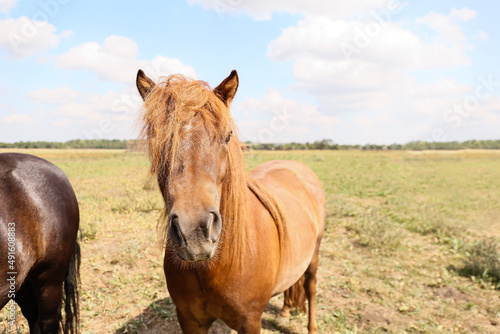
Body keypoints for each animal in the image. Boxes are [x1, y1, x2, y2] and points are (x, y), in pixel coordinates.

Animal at [137, 69, 324, 332]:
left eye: (227, 136)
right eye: (155, 139)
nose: (194, 232)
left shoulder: (250, 320)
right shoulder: (189, 319)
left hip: (315, 252)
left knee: (310, 286)